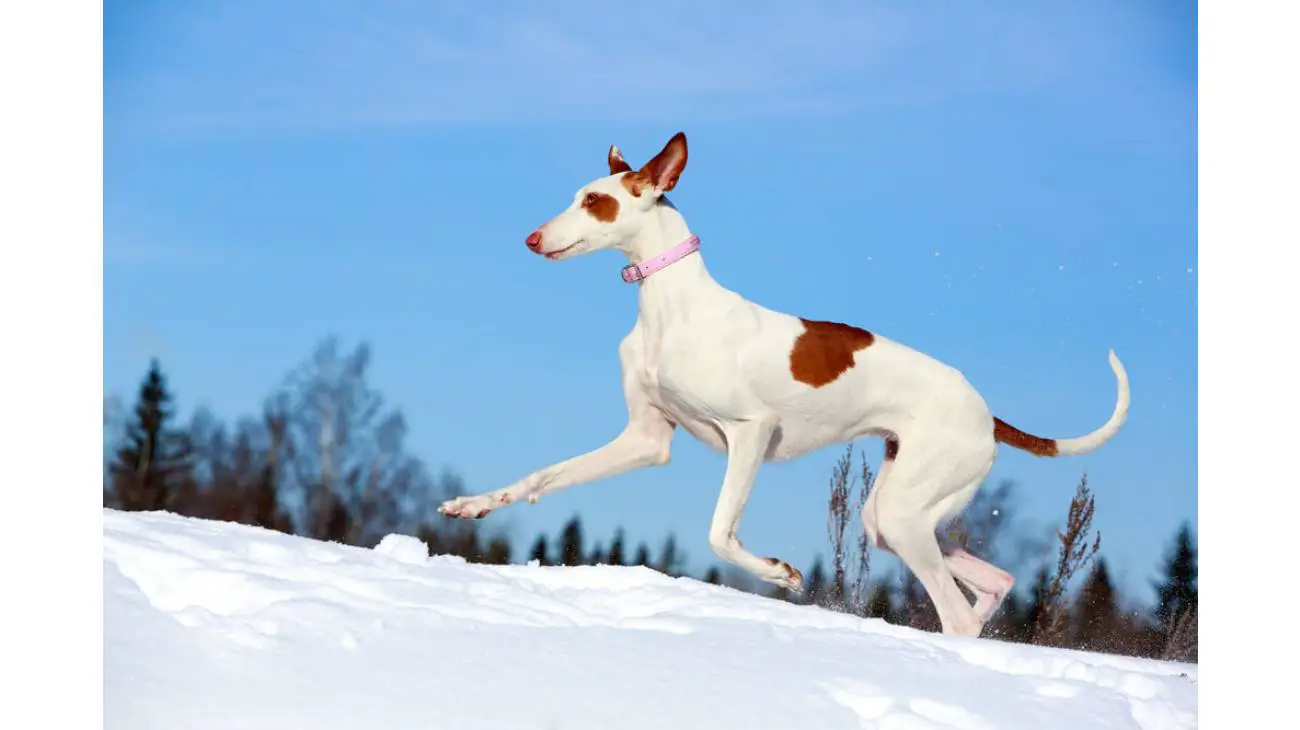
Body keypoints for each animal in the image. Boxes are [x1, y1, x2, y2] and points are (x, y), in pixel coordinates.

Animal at [439, 133, 1128, 633]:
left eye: (593, 201)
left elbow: (720, 532)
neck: (671, 305)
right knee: (995, 583)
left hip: (907, 513)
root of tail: (987, 413)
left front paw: (780, 573)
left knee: (957, 616)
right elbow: (543, 476)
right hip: (897, 514)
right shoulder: (646, 439)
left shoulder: (750, 433)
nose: (531, 238)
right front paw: (475, 503)